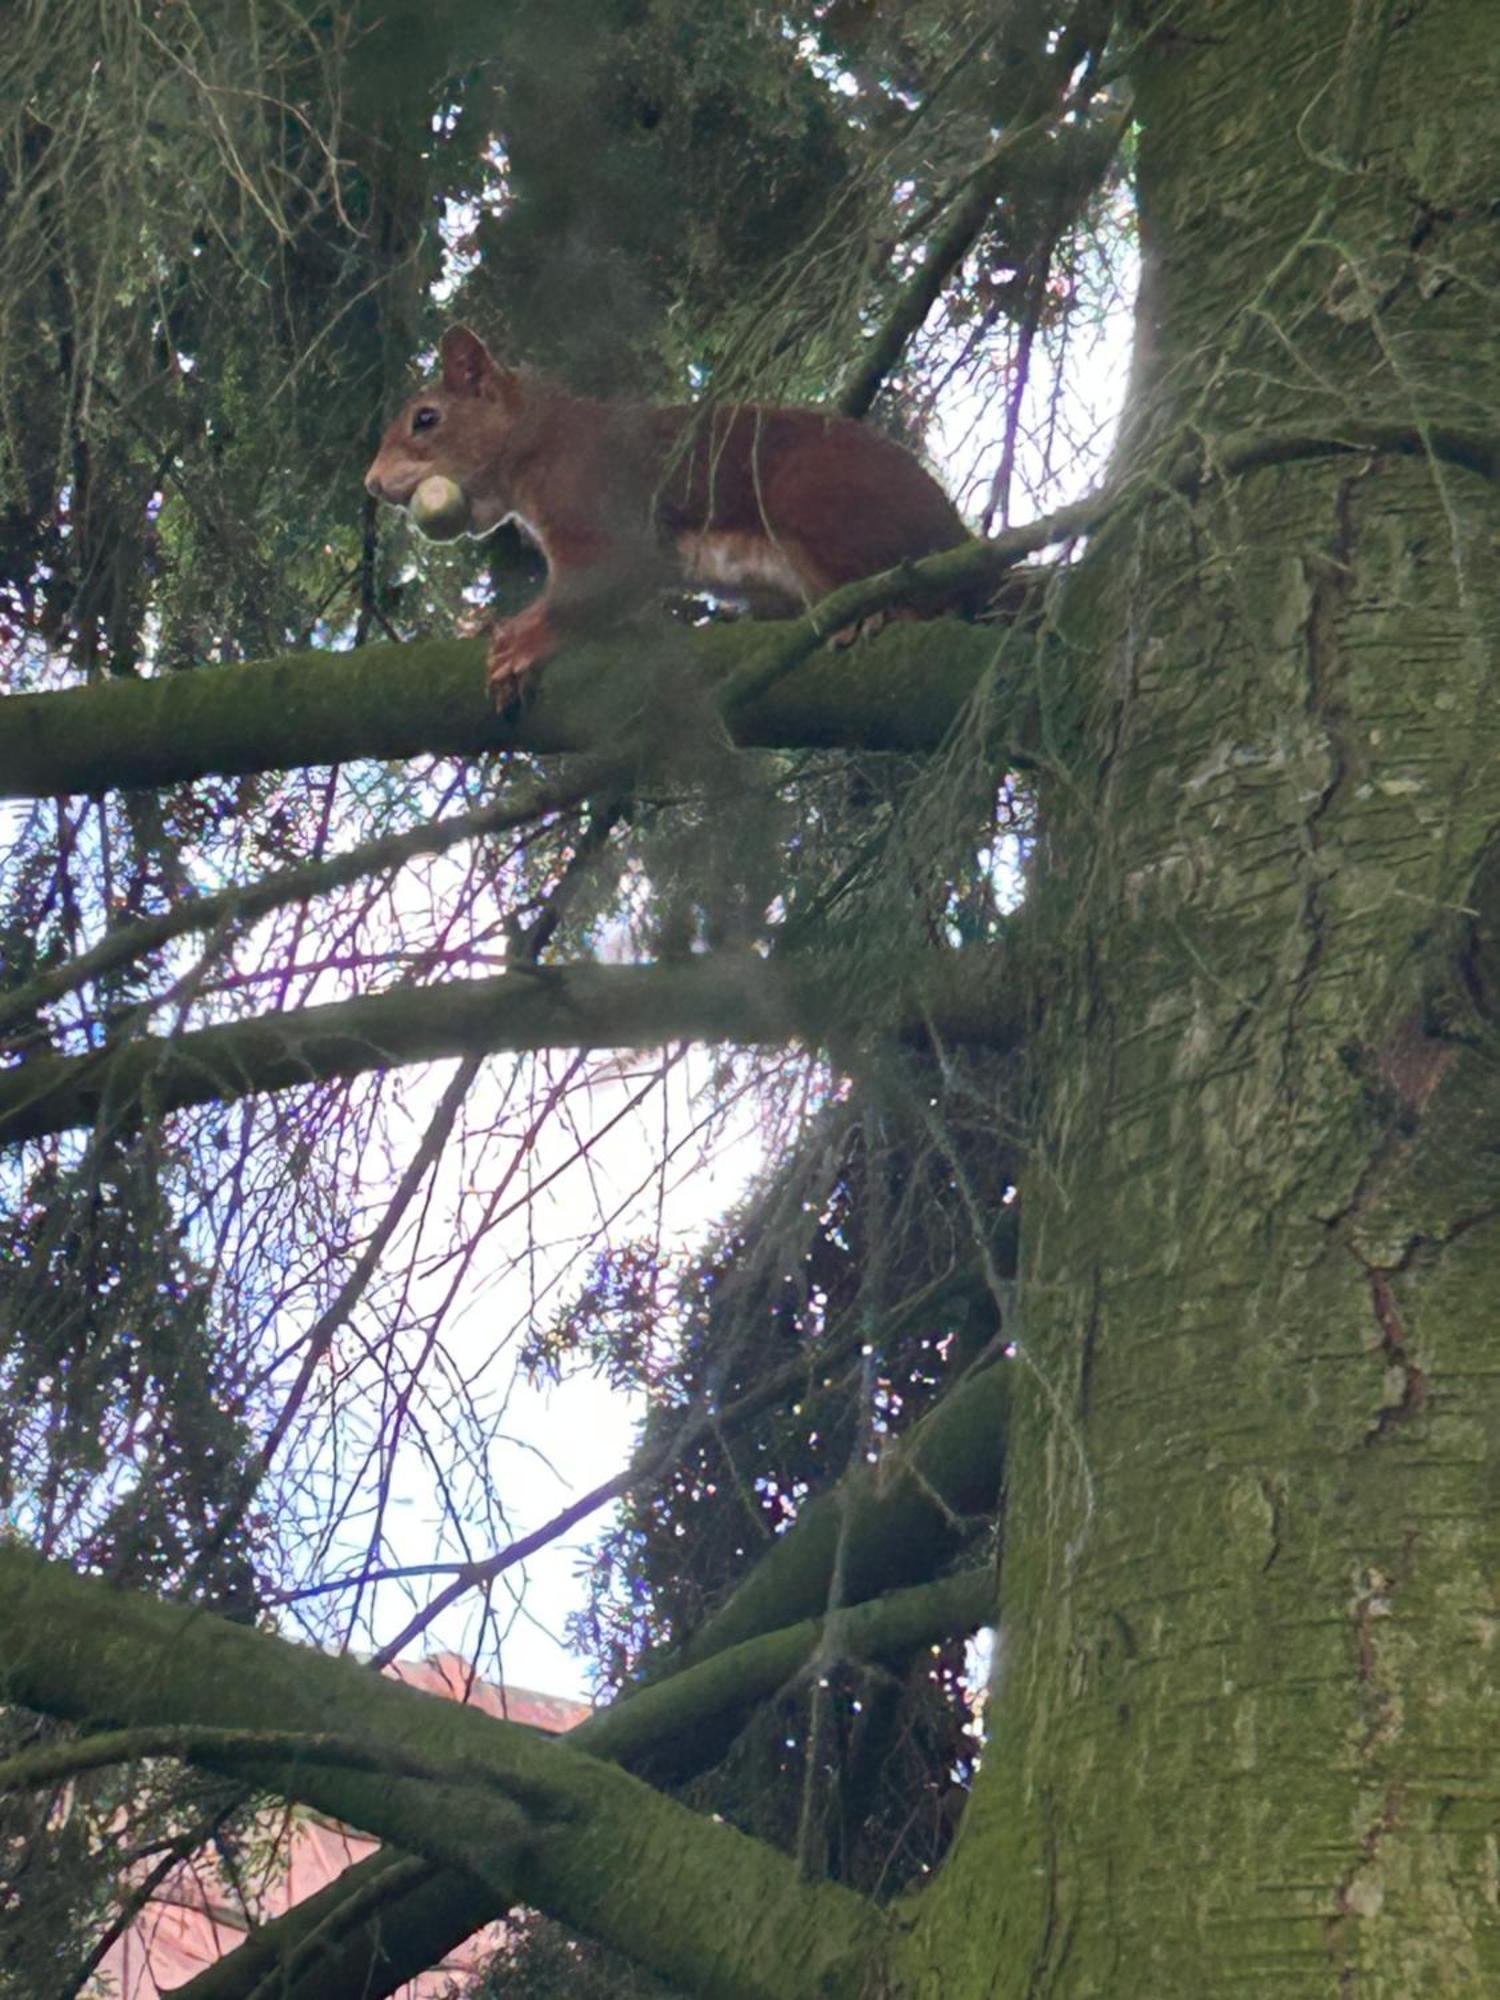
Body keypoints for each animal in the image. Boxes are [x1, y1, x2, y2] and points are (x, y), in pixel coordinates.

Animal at [370, 324, 968, 708]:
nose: (372, 484)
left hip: (819, 503)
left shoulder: (593, 498)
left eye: (426, 419)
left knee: (933, 597)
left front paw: (522, 638)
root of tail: (956, 535)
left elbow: (602, 580)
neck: (538, 438)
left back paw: (881, 612)